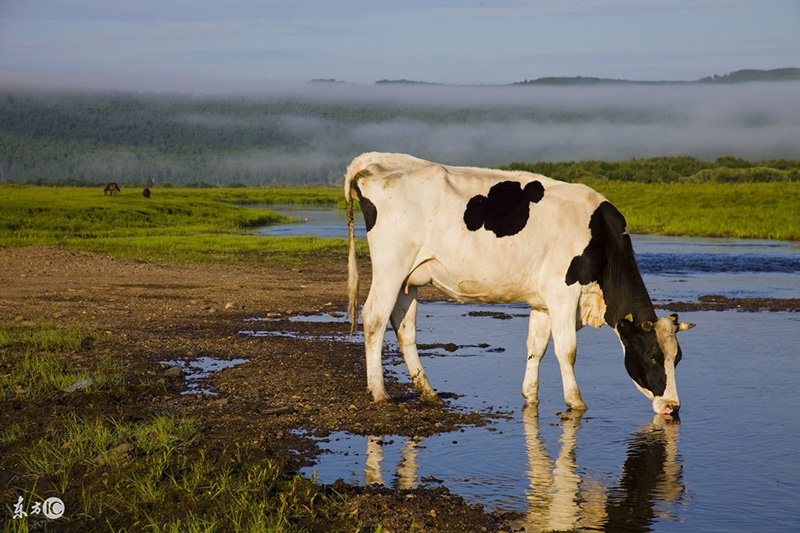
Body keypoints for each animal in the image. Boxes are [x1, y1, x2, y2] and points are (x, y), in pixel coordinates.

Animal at [344, 152, 692, 414]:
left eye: (677, 358)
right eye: (653, 356)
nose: (673, 407)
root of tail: (377, 162)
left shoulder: (544, 301)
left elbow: (536, 347)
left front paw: (530, 395)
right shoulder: (562, 292)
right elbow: (566, 349)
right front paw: (576, 402)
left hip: (410, 276)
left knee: (403, 326)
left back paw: (428, 392)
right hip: (391, 266)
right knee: (374, 317)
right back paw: (379, 392)